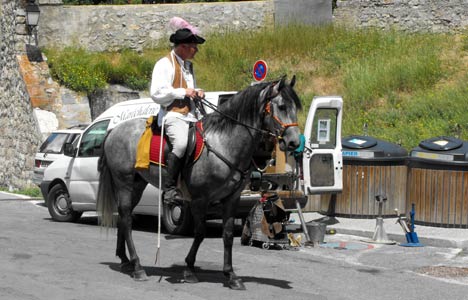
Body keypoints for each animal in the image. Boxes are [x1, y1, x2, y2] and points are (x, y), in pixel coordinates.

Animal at [97, 75, 302, 290]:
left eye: (295, 108)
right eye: (281, 106)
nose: (294, 143)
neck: (224, 143)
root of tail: (113, 130)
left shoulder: (231, 199)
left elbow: (228, 235)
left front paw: (231, 275)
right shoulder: (199, 200)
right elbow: (200, 233)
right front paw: (189, 269)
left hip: (137, 185)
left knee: (123, 216)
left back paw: (125, 260)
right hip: (124, 183)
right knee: (127, 219)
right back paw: (137, 267)